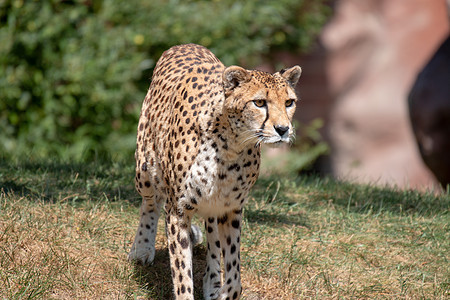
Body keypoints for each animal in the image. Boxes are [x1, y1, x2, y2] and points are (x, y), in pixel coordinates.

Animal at [127, 43, 302, 298]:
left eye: (289, 102)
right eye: (259, 103)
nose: (283, 129)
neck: (230, 145)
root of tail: (185, 44)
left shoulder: (231, 208)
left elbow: (234, 275)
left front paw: (223, 289)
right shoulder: (178, 210)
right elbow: (182, 273)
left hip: (212, 202)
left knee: (212, 237)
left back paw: (212, 281)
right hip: (144, 168)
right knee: (151, 202)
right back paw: (142, 248)